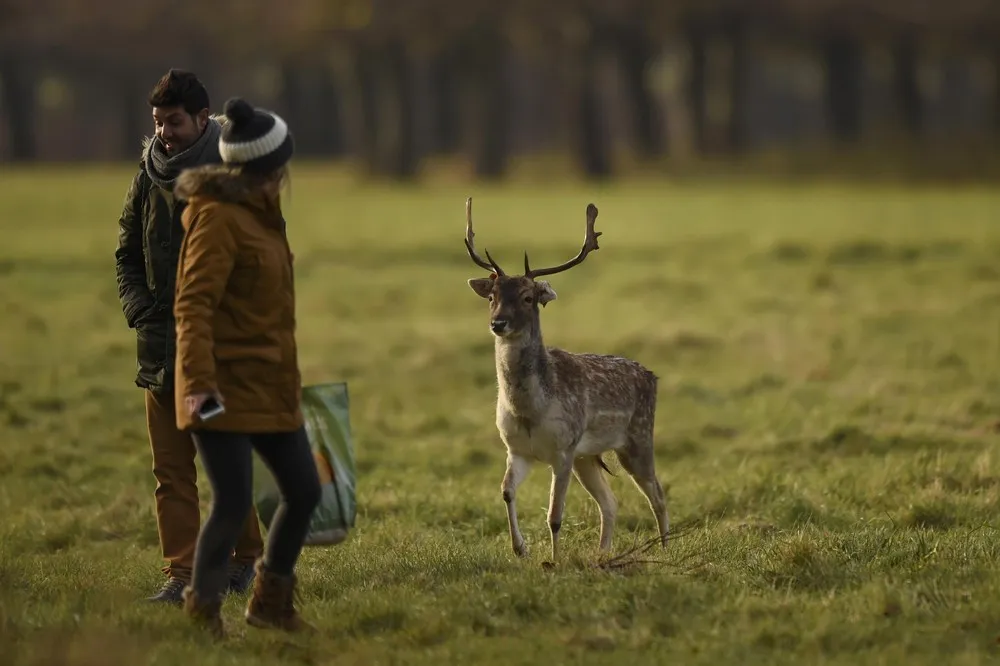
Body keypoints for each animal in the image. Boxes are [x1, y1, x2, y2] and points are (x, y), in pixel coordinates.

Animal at [462, 195, 668, 564]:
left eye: (528, 297)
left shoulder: (563, 449)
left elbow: (555, 515)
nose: (498, 323)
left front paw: (554, 561)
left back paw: (664, 549)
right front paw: (520, 549)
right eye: (492, 296)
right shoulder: (517, 449)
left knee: (657, 494)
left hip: (638, 438)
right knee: (610, 502)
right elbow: (506, 492)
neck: (530, 411)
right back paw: (602, 554)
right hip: (588, 456)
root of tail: (652, 376)